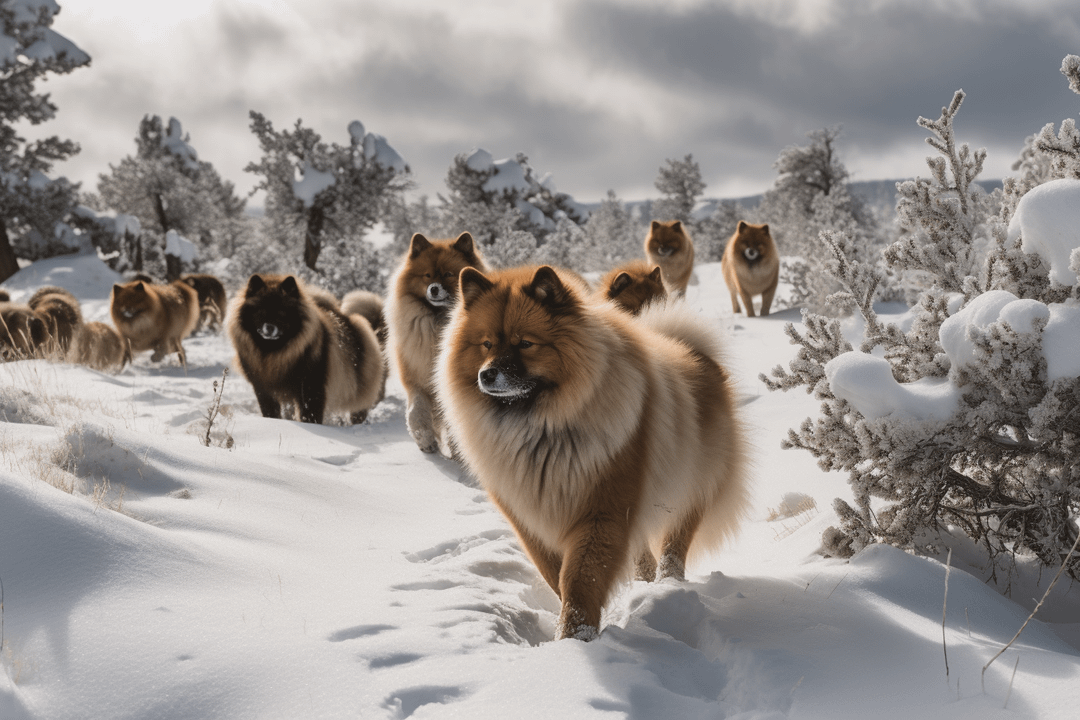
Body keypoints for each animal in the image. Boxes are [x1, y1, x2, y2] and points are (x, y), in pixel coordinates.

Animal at [386, 234, 488, 453]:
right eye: (427, 275)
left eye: (448, 274)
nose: (433, 289)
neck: (438, 324)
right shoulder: (416, 378)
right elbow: (416, 410)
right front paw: (424, 438)